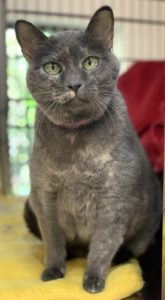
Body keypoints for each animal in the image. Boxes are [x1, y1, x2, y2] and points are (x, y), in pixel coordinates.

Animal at [14, 5, 162, 294]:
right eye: (52, 67)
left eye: (89, 62)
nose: (73, 84)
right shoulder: (44, 195)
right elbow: (53, 239)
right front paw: (53, 271)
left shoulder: (115, 199)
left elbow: (103, 244)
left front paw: (93, 280)